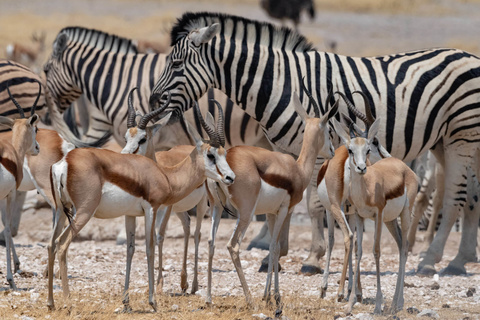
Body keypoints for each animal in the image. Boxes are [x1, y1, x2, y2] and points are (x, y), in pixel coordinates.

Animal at [152, 11, 480, 276]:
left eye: (176, 63)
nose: (154, 100)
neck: (281, 83)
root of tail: (471, 56)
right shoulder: (283, 149)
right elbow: (281, 202)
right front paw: (274, 256)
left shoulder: (320, 153)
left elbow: (312, 206)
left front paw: (311, 258)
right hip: (447, 142)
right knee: (470, 198)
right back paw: (459, 260)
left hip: (461, 139)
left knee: (454, 199)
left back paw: (429, 261)